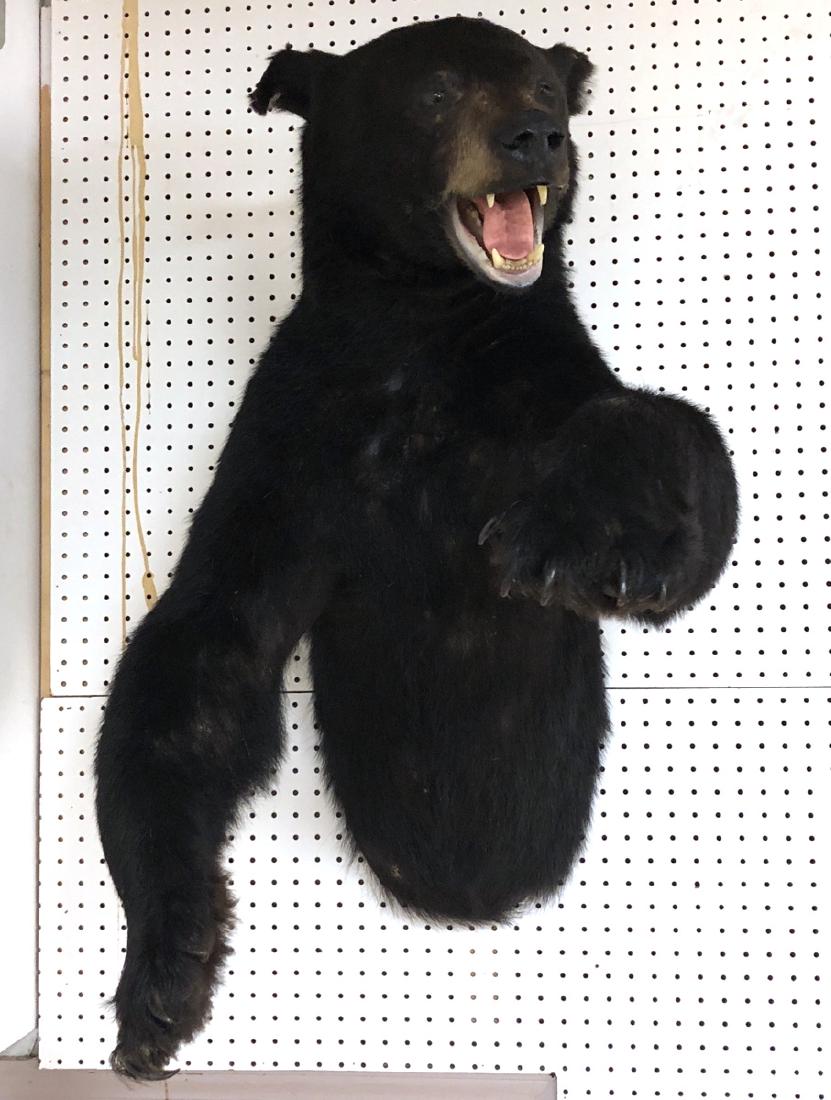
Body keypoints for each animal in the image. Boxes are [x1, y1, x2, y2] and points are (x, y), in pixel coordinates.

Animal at [94, 15, 738, 1080]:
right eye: (435, 92)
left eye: (544, 88)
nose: (535, 136)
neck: (420, 335)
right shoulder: (297, 444)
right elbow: (201, 654)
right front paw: (163, 973)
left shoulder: (536, 389)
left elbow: (669, 446)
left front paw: (571, 538)